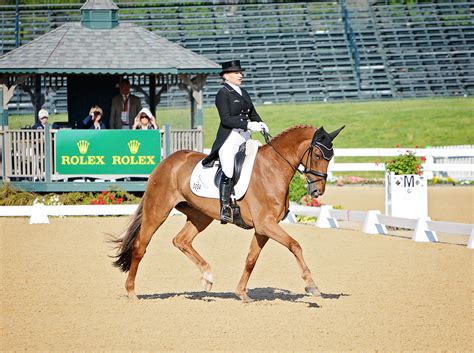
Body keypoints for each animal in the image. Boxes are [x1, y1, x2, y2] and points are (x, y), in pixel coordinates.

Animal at [112, 124, 342, 300]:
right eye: (318, 154)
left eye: (331, 157)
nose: (317, 191)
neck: (273, 168)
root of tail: (166, 162)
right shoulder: (266, 224)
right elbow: (295, 245)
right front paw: (312, 285)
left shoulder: (263, 228)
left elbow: (251, 259)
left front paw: (241, 293)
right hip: (158, 210)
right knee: (140, 246)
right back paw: (131, 292)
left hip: (200, 216)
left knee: (181, 240)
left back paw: (207, 277)